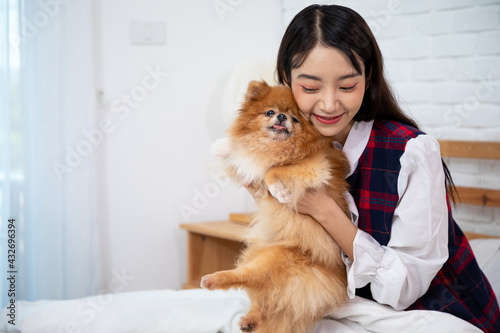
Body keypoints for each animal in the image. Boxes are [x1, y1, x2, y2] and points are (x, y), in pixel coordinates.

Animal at [201, 80, 350, 332]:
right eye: (270, 112)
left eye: (295, 118)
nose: (281, 116)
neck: (273, 145)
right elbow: (241, 150)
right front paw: (222, 146)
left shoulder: (314, 168)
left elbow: (274, 169)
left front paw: (279, 191)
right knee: (260, 296)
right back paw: (249, 320)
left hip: (274, 258)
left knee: (248, 277)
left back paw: (212, 279)